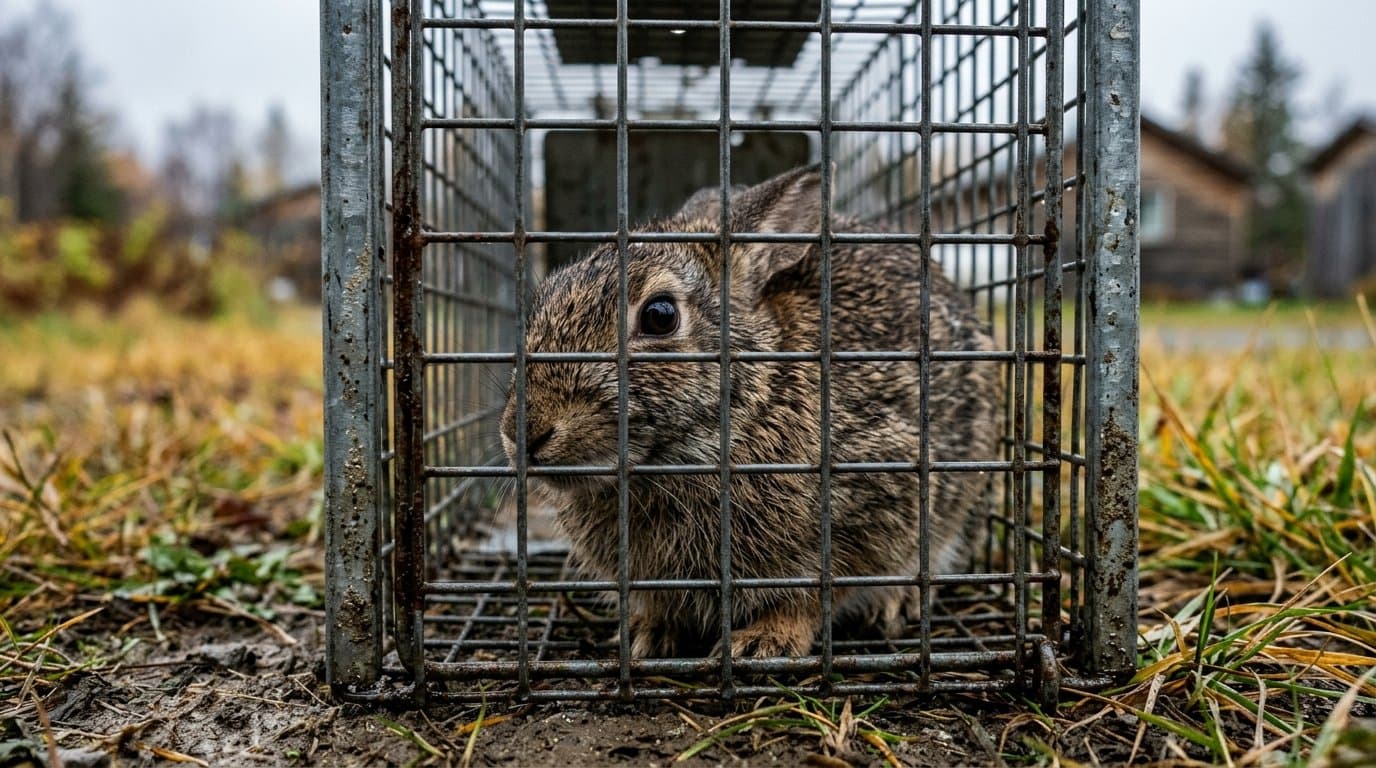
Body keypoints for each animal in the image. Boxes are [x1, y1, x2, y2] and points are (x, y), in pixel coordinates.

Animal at [499, 165, 1001, 659]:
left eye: (660, 316)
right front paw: (648, 634)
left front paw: (765, 641)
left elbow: (816, 593)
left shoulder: (879, 497)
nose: (523, 432)